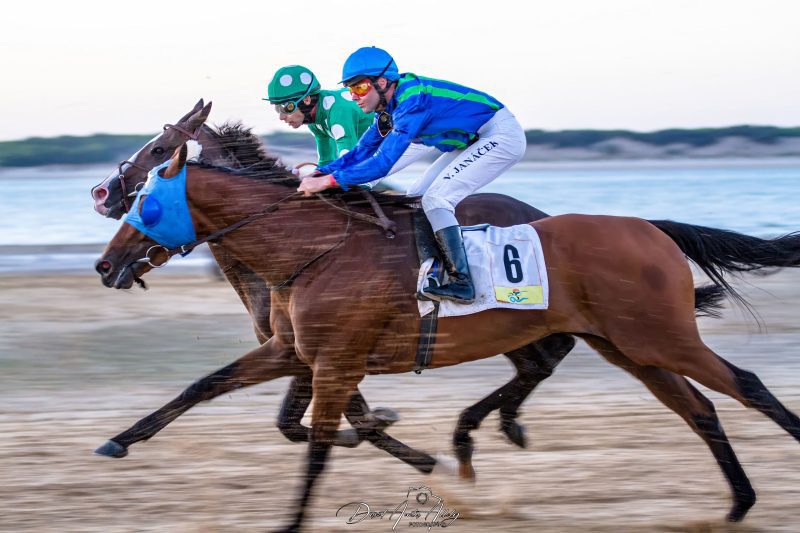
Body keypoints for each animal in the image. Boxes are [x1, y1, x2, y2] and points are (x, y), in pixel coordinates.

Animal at [89, 99, 578, 469]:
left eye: (159, 150)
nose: (101, 194)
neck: (301, 247)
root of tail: (541, 214)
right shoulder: (298, 351)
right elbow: (253, 405)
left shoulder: (324, 354)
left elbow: (326, 420)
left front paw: (403, 446)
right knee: (542, 359)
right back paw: (502, 424)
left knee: (547, 356)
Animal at [95, 143, 800, 531]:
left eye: (147, 200)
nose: (106, 263)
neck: (311, 249)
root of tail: (650, 228)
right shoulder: (295, 352)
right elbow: (205, 386)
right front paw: (119, 440)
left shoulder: (336, 362)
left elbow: (318, 445)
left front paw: (296, 519)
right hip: (628, 346)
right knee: (700, 409)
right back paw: (736, 505)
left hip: (659, 337)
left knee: (746, 385)